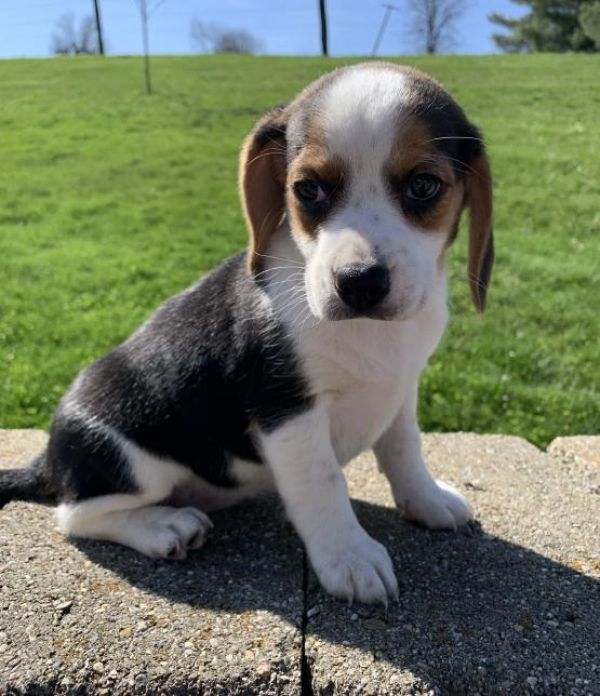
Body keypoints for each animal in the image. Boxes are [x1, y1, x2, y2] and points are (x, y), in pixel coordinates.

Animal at [0, 64, 492, 604]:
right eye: (308, 190)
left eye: (424, 185)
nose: (359, 282)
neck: (368, 332)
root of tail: (48, 458)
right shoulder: (287, 409)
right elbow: (324, 485)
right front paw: (350, 558)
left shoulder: (401, 389)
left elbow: (404, 448)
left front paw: (426, 501)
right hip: (130, 456)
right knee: (74, 515)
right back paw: (163, 528)